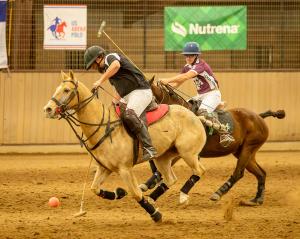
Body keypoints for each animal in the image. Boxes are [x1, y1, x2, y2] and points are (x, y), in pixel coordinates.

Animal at [43, 71, 207, 222]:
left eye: (66, 90)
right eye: (57, 88)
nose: (48, 109)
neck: (103, 126)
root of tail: (195, 115)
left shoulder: (125, 169)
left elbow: (135, 194)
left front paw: (155, 214)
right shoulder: (105, 167)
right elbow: (94, 188)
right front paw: (120, 193)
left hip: (187, 152)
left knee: (199, 170)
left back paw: (183, 196)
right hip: (162, 157)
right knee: (171, 179)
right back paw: (153, 197)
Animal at [141, 78, 286, 205]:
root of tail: (259, 116)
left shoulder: (185, 152)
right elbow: (159, 169)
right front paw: (146, 185)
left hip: (248, 147)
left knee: (238, 173)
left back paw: (218, 193)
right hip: (243, 152)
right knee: (261, 173)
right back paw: (256, 199)